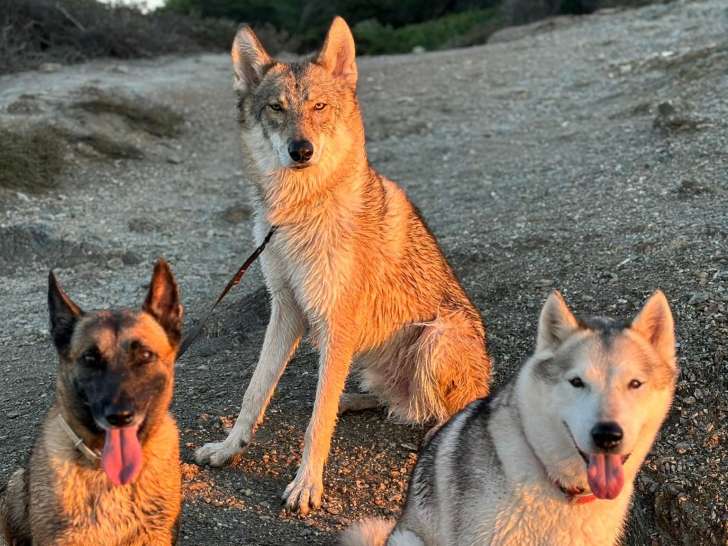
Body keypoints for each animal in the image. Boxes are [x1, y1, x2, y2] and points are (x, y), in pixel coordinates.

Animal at [194, 16, 492, 514]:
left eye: (319, 107)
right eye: (276, 108)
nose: (301, 149)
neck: (299, 210)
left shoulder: (334, 320)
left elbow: (316, 424)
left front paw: (306, 485)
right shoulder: (287, 311)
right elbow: (256, 391)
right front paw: (229, 448)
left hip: (436, 338)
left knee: (439, 409)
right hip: (368, 356)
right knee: (386, 401)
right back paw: (352, 400)